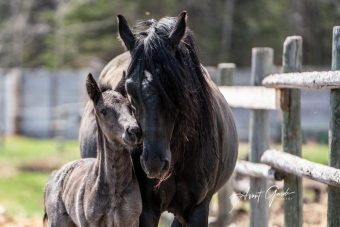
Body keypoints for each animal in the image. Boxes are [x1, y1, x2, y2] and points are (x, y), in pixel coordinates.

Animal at [44, 73, 142, 226]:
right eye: (103, 111)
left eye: (130, 107)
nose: (134, 131)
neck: (114, 190)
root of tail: (55, 174)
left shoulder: (130, 221)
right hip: (57, 222)